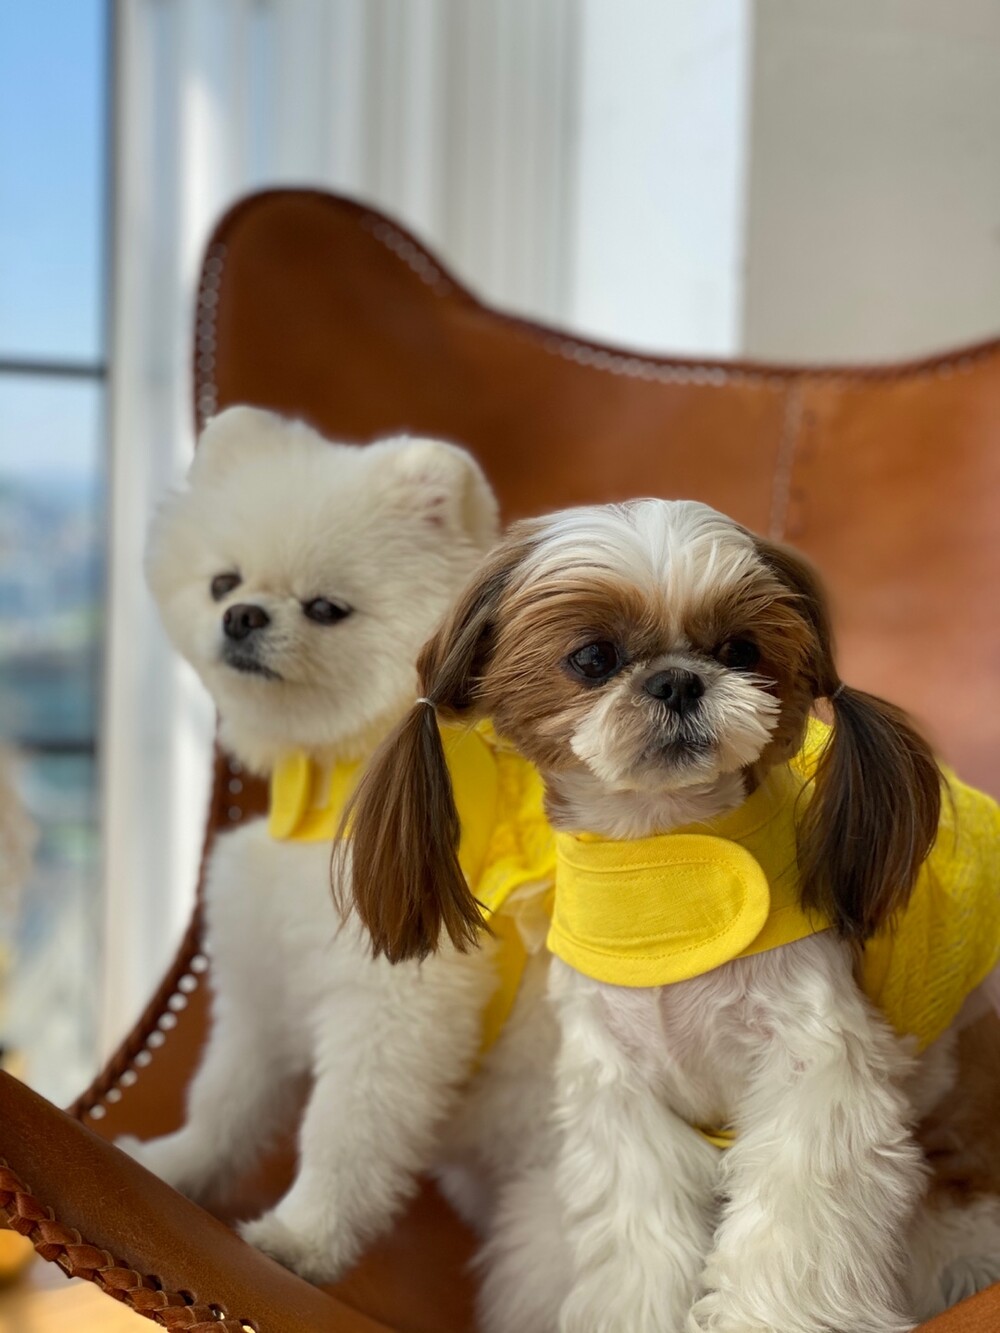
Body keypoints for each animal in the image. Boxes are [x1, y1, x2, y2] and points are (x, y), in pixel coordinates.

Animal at [123, 405, 508, 1281]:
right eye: (223, 582)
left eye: (327, 607)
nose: (243, 616)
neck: (339, 796)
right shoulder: (264, 977)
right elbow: (226, 1097)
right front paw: (172, 1163)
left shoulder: (399, 1001)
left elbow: (344, 1131)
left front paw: (303, 1237)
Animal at [347, 498, 1000, 1333]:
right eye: (593, 657)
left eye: (740, 649)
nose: (679, 679)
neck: (661, 871)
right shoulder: (623, 1095)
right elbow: (640, 1239)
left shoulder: (814, 1070)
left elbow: (792, 1218)